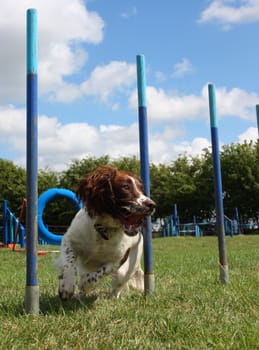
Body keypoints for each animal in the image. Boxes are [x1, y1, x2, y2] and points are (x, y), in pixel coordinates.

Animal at [55, 165, 155, 300]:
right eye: (125, 187)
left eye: (142, 189)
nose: (152, 205)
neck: (103, 230)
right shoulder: (69, 240)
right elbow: (68, 263)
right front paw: (67, 286)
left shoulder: (118, 260)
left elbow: (98, 274)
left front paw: (84, 284)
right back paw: (79, 295)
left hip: (126, 270)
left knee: (117, 286)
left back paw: (111, 297)